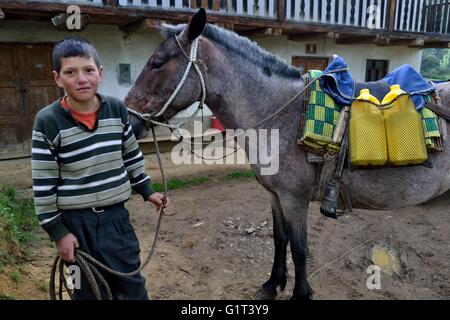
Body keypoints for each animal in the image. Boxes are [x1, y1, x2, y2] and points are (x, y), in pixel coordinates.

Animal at [125, 9, 450, 300]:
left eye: (156, 63)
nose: (128, 118)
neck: (282, 114)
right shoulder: (275, 195)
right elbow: (280, 240)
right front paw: (272, 284)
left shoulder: (295, 199)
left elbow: (299, 248)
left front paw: (300, 294)